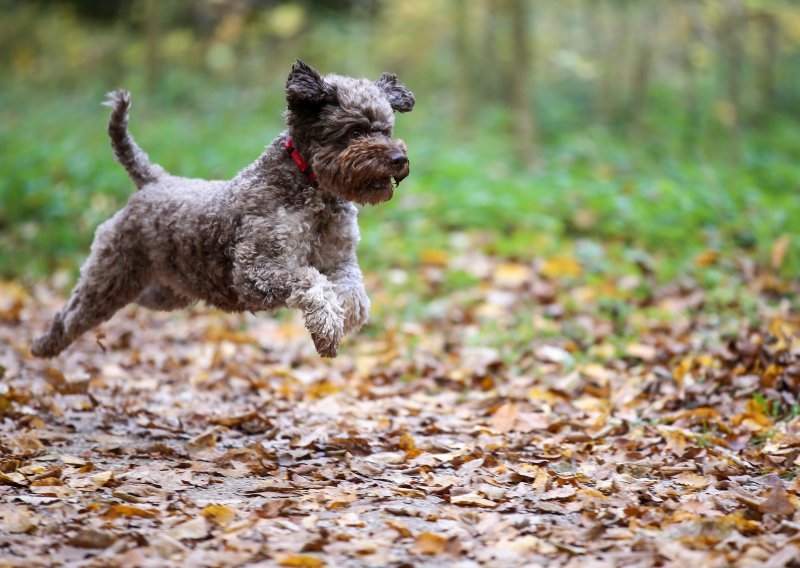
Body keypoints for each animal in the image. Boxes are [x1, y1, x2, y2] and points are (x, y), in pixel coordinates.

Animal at [31, 60, 416, 358]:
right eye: (354, 130)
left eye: (386, 129)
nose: (399, 159)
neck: (314, 192)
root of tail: (153, 180)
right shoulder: (255, 270)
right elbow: (311, 282)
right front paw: (327, 328)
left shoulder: (339, 261)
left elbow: (354, 296)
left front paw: (339, 321)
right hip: (111, 275)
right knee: (71, 315)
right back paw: (43, 345)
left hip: (165, 289)